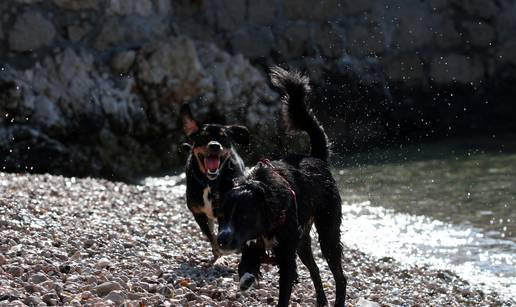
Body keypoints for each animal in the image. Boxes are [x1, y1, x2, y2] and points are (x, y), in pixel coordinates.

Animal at [180, 104, 249, 262]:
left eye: (223, 137)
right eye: (204, 136)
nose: (215, 145)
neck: (210, 183)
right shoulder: (198, 213)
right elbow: (211, 237)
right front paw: (219, 255)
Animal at [214, 68, 346, 307]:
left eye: (243, 216)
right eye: (221, 215)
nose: (222, 239)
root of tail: (316, 158)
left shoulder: (286, 255)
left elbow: (285, 289)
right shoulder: (252, 245)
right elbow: (246, 266)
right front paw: (247, 278)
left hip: (327, 231)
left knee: (340, 276)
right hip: (303, 242)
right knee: (314, 268)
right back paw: (321, 300)